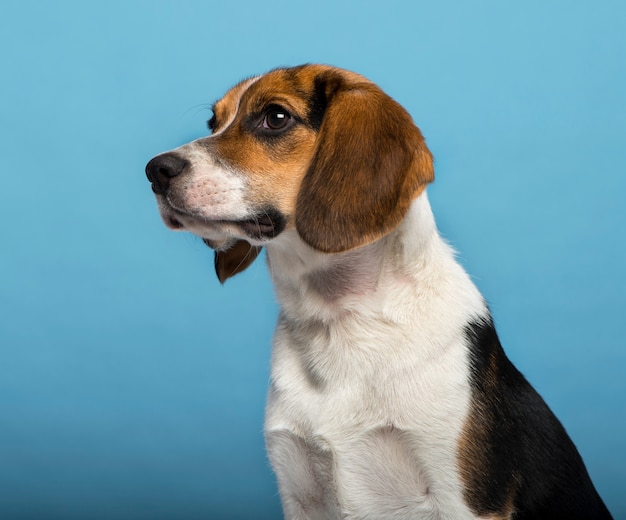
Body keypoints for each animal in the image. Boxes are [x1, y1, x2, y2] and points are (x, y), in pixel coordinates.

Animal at [144, 65, 608, 520]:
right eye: (214, 122)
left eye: (275, 117)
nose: (156, 170)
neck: (341, 318)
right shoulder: (299, 491)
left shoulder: (462, 499)